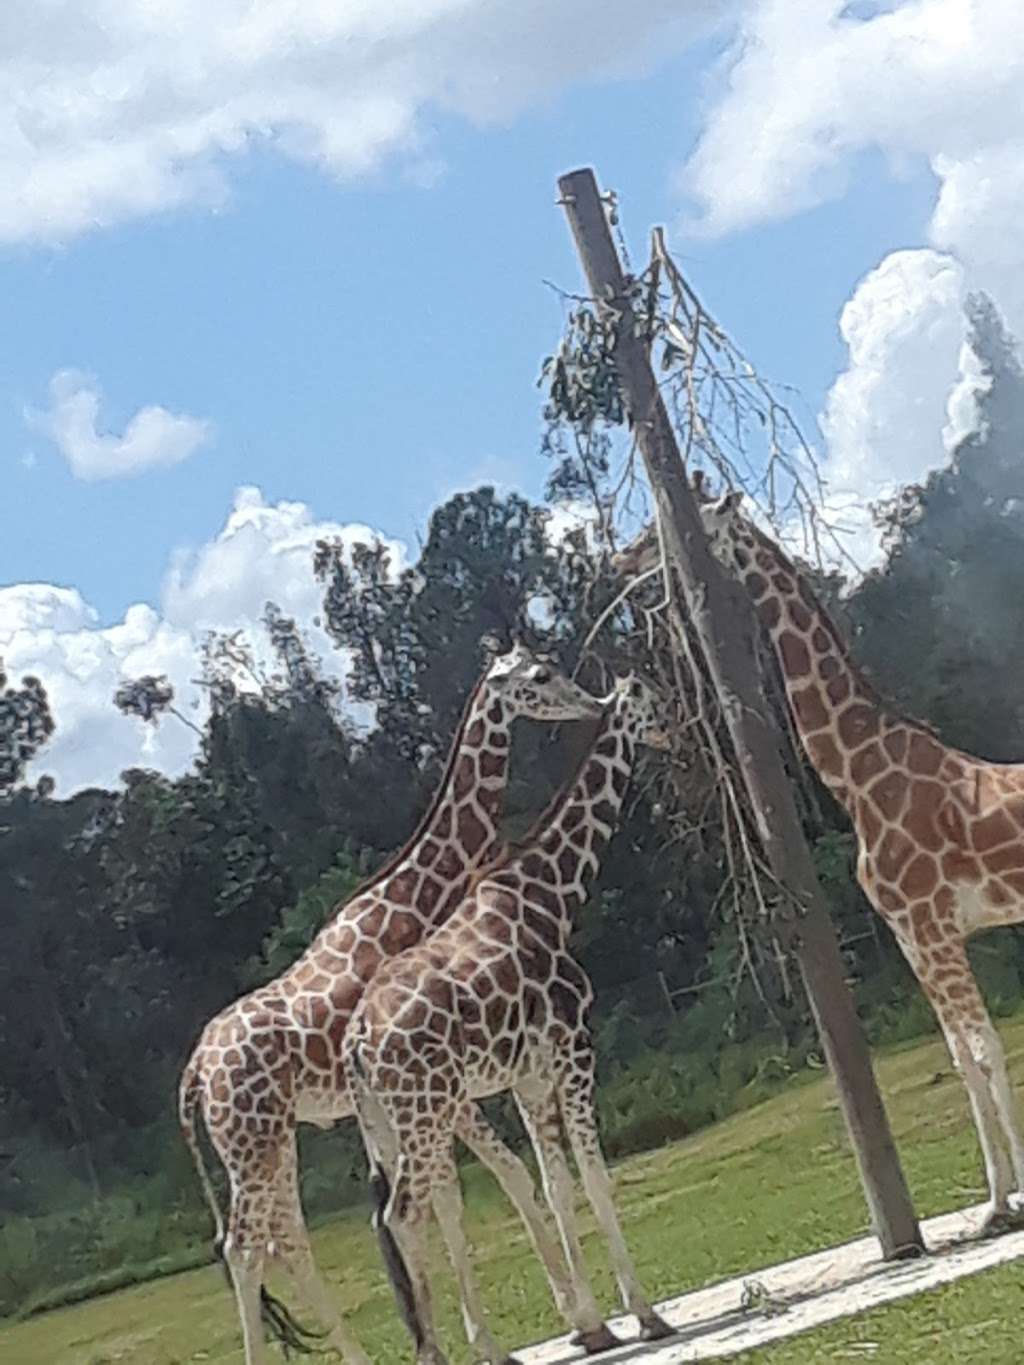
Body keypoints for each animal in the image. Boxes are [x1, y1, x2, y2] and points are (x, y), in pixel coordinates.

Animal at [180, 641, 606, 1365]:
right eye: (541, 676)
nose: (595, 702)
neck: (411, 900)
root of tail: (194, 1075)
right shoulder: (435, 1088)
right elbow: (485, 1184)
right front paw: (552, 1322)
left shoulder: (401, 1101)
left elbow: (451, 1199)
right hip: (253, 1139)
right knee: (244, 1247)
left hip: (269, 1141)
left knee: (284, 1239)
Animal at [349, 674, 677, 1365]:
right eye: (652, 700)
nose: (674, 728)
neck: (551, 893)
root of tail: (357, 1042)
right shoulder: (575, 1052)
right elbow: (595, 1179)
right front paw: (645, 1314)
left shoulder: (529, 1076)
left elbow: (554, 1186)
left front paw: (593, 1325)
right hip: (426, 1109)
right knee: (405, 1214)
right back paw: (458, 1352)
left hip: (387, 1122)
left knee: (402, 1216)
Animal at [622, 494, 1024, 1239]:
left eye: (681, 520)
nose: (622, 560)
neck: (856, 776)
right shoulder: (912, 934)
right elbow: (962, 1055)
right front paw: (996, 1203)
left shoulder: (931, 924)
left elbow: (982, 1048)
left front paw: (1001, 1203)